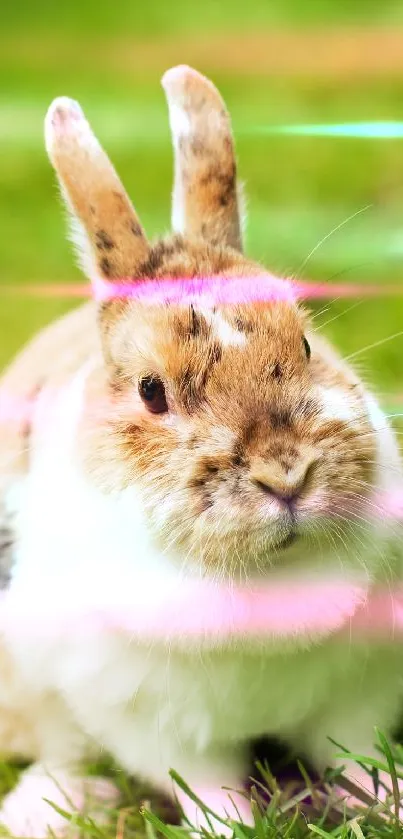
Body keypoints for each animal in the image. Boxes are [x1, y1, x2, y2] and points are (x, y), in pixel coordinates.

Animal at [0, 62, 403, 836]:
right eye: (152, 391)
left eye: (306, 344)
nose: (286, 473)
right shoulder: (154, 723)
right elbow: (205, 785)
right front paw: (232, 823)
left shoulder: (358, 690)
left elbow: (356, 755)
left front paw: (392, 797)